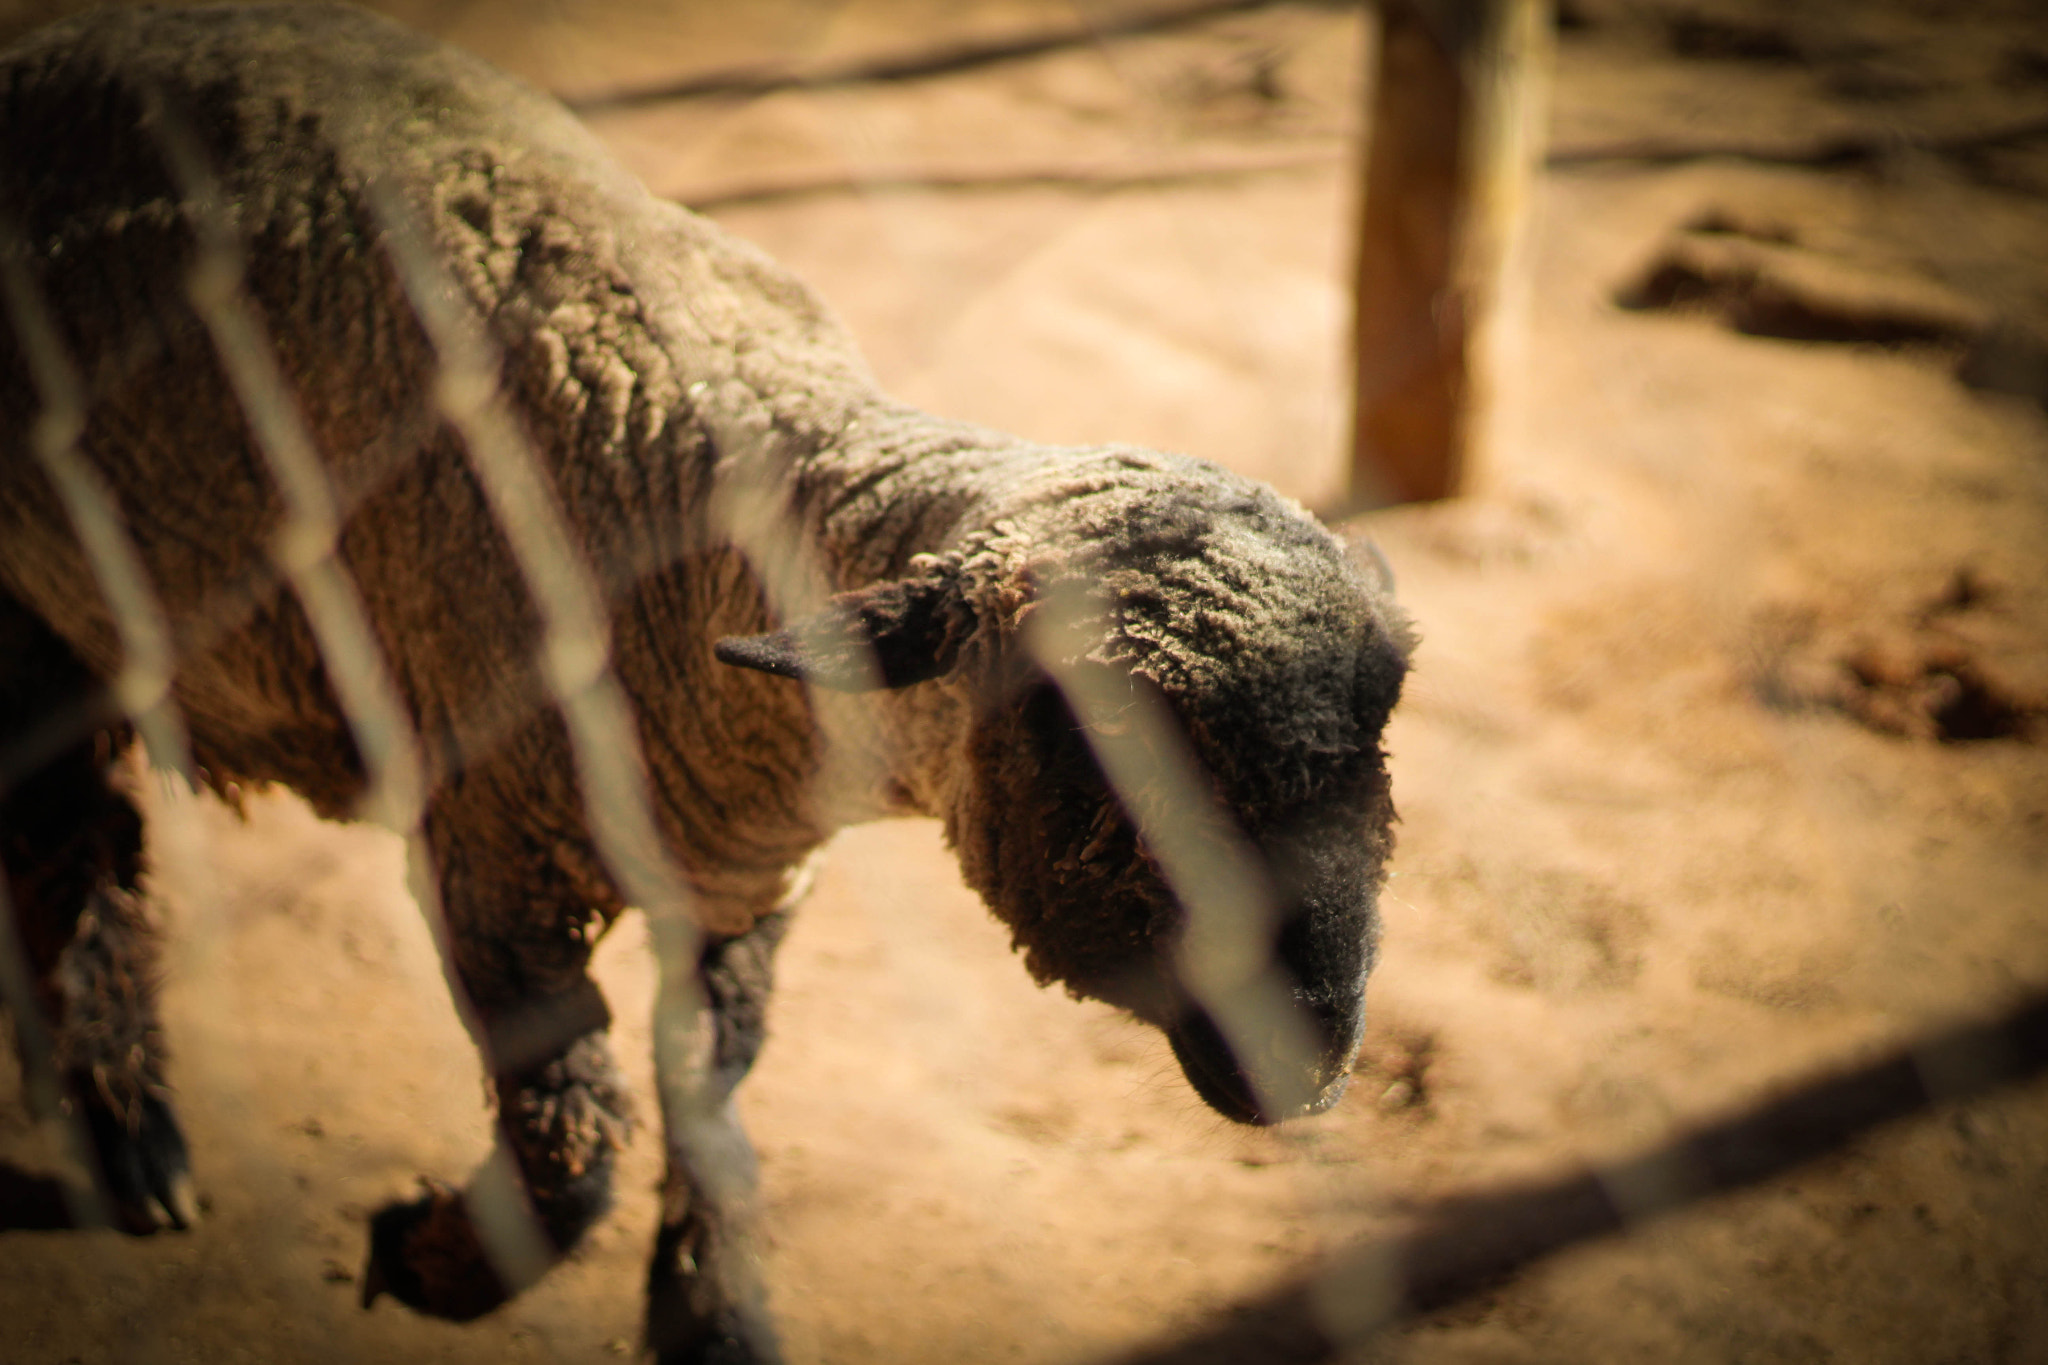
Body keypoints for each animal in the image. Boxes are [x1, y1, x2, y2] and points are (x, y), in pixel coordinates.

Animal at [0, 5, 1415, 1361]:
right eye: (1090, 733)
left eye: (1378, 742)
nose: (1308, 1056)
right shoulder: (491, 854)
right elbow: (572, 1135)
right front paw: (427, 1258)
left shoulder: (741, 889)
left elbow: (706, 1097)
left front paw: (712, 1314)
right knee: (75, 838)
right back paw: (132, 1142)